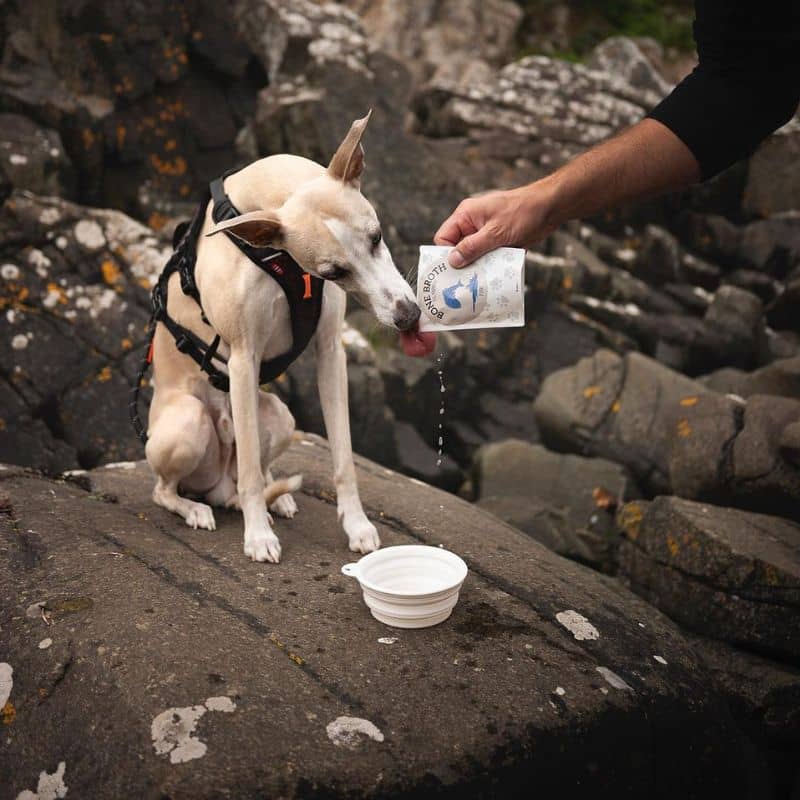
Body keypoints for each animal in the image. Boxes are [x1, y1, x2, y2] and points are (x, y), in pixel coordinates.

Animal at [141, 112, 434, 564]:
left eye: (376, 236)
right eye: (334, 271)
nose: (407, 317)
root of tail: (219, 486)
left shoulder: (331, 352)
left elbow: (343, 457)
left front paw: (357, 526)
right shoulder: (244, 359)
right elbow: (248, 471)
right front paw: (258, 536)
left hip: (281, 416)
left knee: (258, 470)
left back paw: (276, 498)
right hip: (188, 424)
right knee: (172, 488)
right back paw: (198, 509)